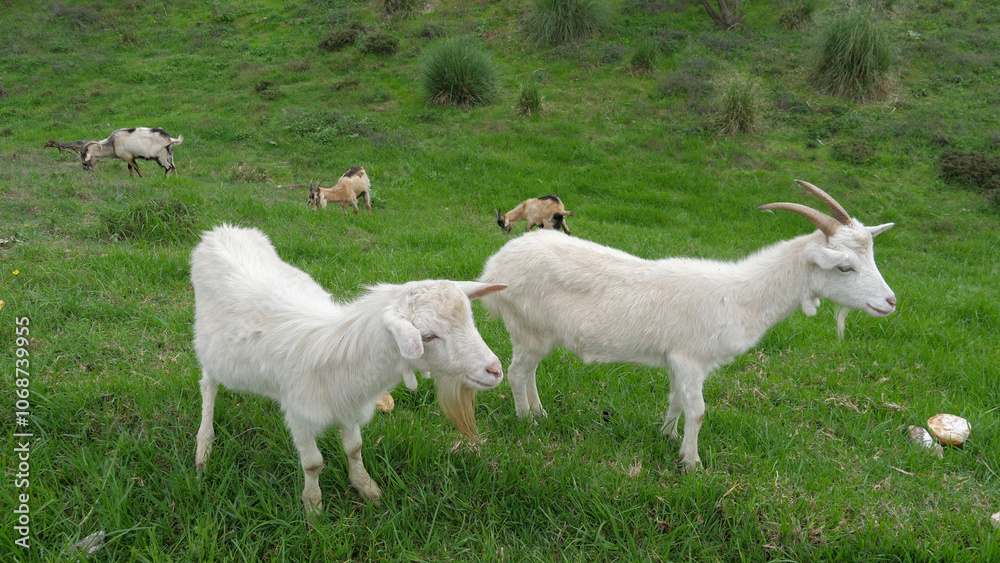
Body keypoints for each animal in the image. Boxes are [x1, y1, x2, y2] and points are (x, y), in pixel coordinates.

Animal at [191, 224, 506, 513]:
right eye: (427, 336)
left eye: (470, 318)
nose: (495, 370)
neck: (341, 354)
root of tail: (222, 230)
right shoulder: (299, 413)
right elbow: (313, 464)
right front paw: (313, 507)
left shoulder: (350, 402)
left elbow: (354, 448)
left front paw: (366, 486)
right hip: (207, 350)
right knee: (208, 386)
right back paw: (204, 448)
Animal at [478, 180, 895, 472]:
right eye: (845, 267)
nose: (890, 302)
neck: (740, 295)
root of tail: (496, 266)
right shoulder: (690, 358)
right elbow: (697, 410)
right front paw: (692, 463)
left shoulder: (683, 362)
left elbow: (677, 400)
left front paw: (668, 436)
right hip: (527, 326)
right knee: (516, 373)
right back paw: (525, 421)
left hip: (538, 333)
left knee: (529, 371)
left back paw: (539, 413)